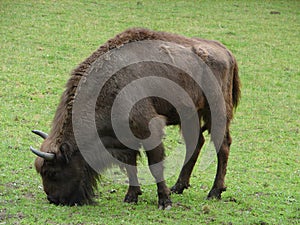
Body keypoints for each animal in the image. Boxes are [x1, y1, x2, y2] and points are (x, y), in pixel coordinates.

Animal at [30, 27, 240, 209]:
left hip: (216, 113)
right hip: (190, 115)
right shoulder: (125, 138)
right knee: (196, 143)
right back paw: (179, 186)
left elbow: (155, 165)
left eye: (52, 171)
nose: (53, 199)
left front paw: (164, 201)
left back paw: (214, 192)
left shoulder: (148, 129)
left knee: (222, 146)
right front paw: (131, 196)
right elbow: (131, 165)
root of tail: (226, 52)